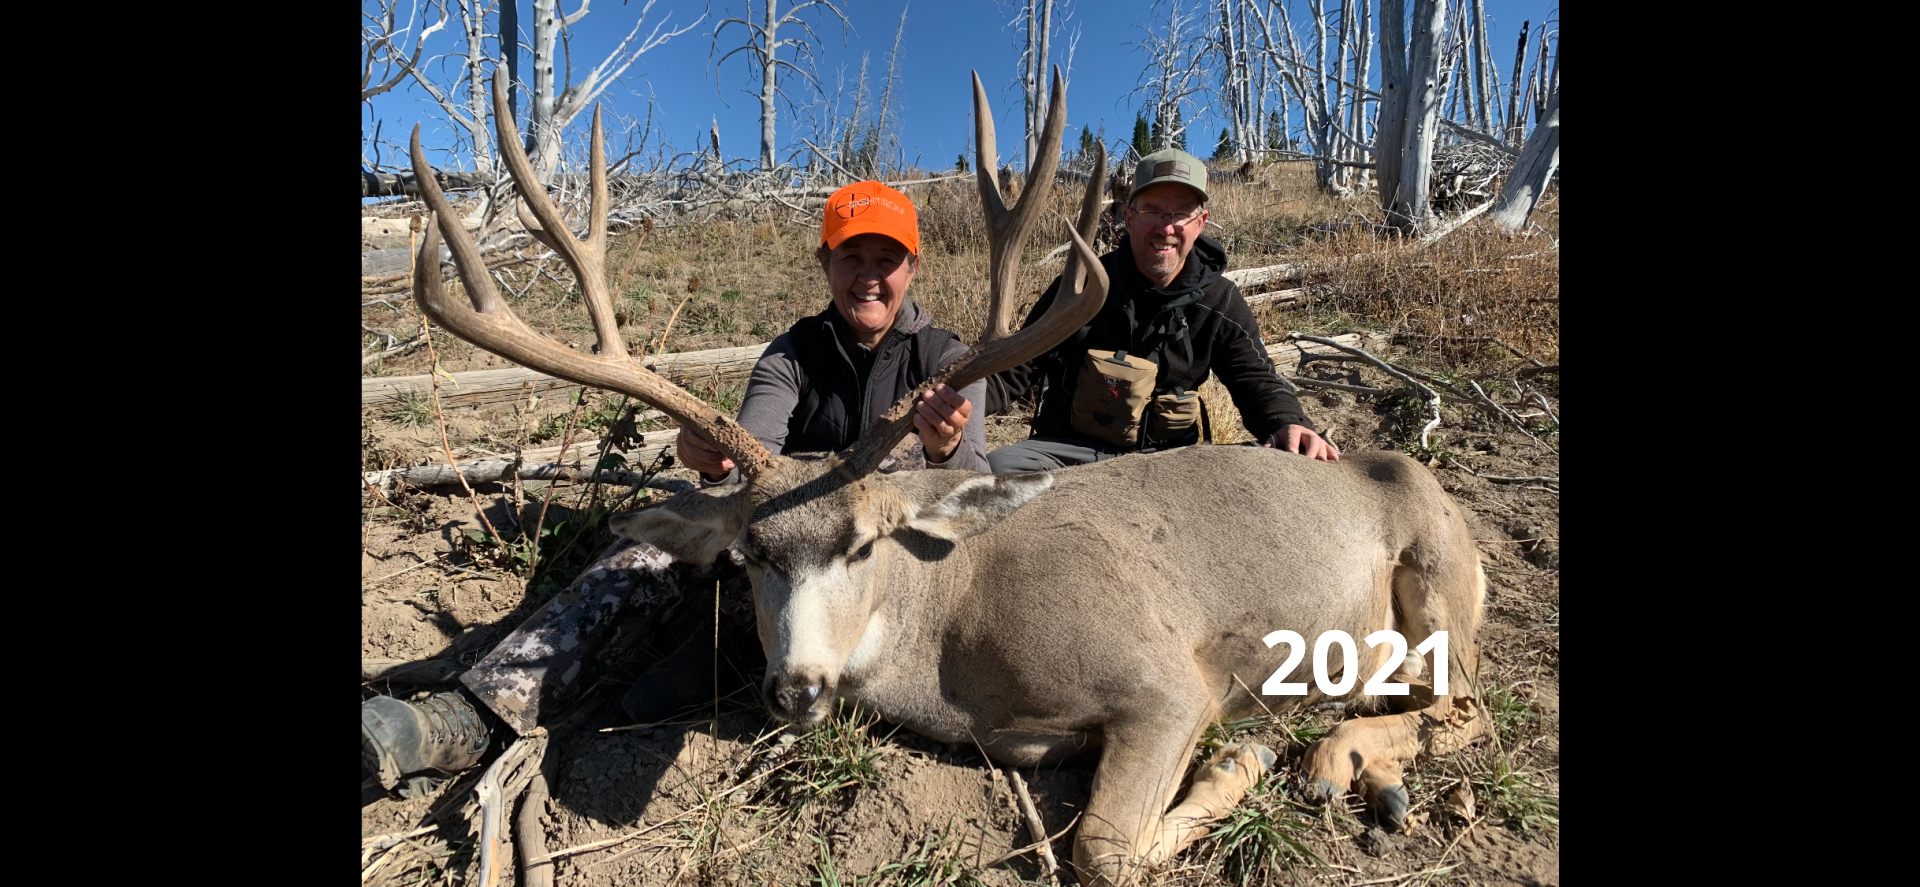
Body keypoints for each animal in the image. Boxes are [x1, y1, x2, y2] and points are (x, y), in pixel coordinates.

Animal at [408, 68, 1487, 887]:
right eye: (749, 551)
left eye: (864, 544)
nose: (795, 686)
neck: (958, 633)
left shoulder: (1169, 678)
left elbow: (1105, 847)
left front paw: (1247, 756)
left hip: (1438, 575)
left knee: (1461, 701)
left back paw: (1335, 754)